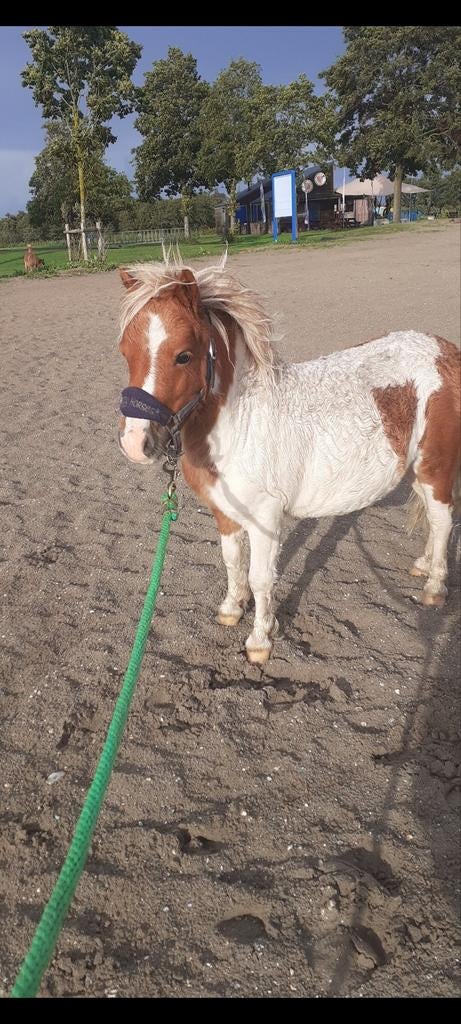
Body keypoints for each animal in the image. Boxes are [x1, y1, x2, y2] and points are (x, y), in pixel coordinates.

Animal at [117, 256, 460, 664]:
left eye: (183, 355)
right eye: (125, 351)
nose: (134, 442)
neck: (240, 423)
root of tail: (446, 351)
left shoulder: (265, 517)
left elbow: (260, 578)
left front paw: (260, 641)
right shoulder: (226, 514)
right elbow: (232, 562)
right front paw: (231, 609)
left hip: (436, 466)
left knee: (442, 520)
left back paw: (435, 587)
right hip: (416, 470)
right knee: (431, 516)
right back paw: (423, 565)